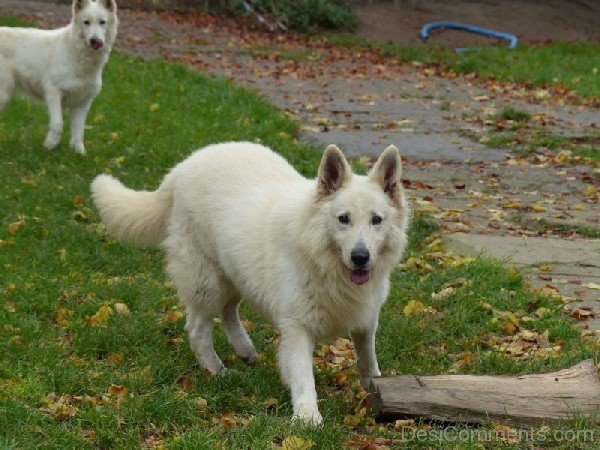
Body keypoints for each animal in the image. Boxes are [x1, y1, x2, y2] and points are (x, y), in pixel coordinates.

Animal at [0, 0, 118, 155]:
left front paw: (79, 152)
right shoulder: (53, 92)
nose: (95, 41)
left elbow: (79, 131)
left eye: (102, 22)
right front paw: (50, 144)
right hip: (3, 94)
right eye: (86, 22)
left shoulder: (82, 103)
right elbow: (58, 124)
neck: (77, 53)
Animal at [91, 142, 410, 424]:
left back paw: (244, 350)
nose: (360, 257)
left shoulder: (366, 318)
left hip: (235, 275)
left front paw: (375, 388)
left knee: (228, 312)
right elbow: (303, 375)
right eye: (343, 219)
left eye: (376, 220)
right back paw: (217, 371)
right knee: (197, 329)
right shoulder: (297, 326)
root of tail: (183, 166)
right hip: (208, 282)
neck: (324, 260)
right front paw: (307, 418)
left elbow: (367, 358)